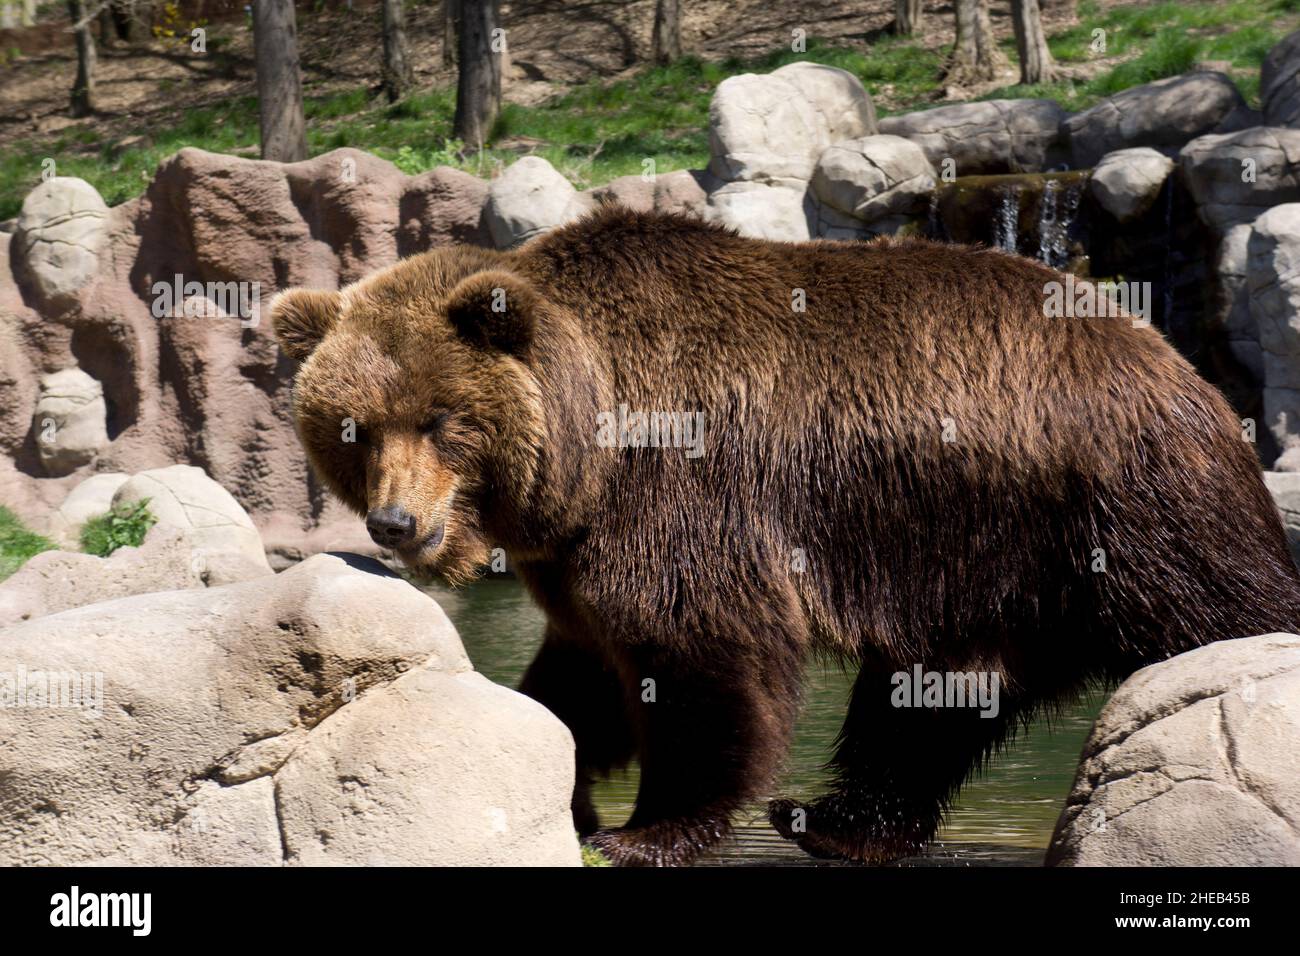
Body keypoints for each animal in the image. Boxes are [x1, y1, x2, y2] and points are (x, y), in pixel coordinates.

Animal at [269, 208, 1300, 868]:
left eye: (442, 420)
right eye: (355, 429)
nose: (397, 522)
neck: (587, 444)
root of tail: (1173, 361)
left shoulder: (675, 491)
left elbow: (695, 650)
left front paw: (642, 831)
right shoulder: (575, 549)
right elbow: (581, 671)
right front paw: (559, 781)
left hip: (1118, 503)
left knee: (1219, 605)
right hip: (985, 557)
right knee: (938, 690)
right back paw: (833, 819)